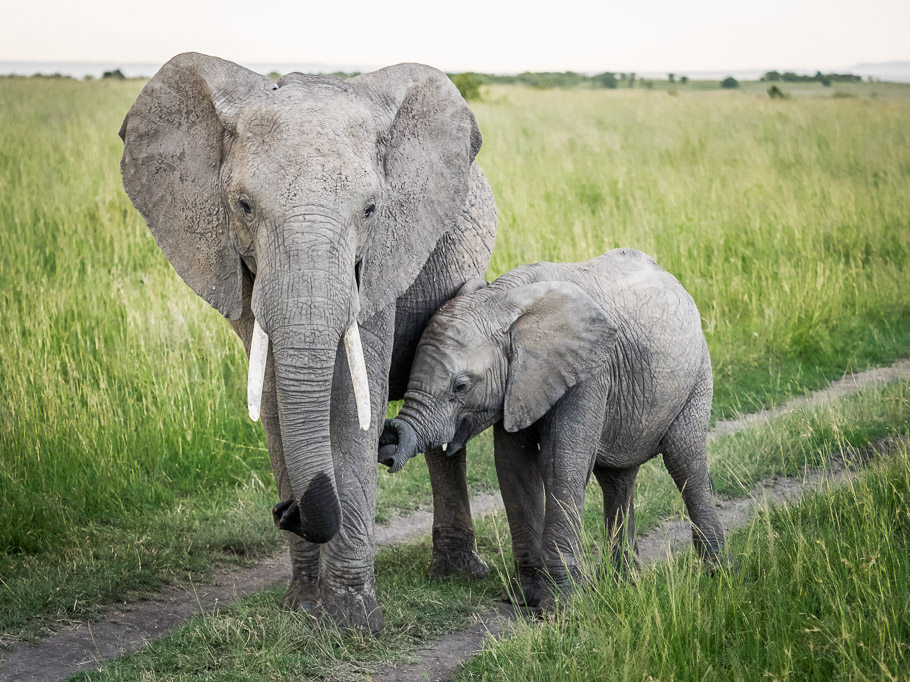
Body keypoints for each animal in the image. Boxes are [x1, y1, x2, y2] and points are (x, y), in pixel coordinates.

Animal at [119, 52, 496, 631]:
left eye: (371, 210)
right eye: (243, 206)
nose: (286, 512)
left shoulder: (379, 264)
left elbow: (350, 408)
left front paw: (352, 620)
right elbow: (275, 404)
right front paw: (300, 608)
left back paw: (457, 575)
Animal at [379, 248, 725, 607]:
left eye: (461, 386)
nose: (388, 437)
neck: (503, 300)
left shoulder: (590, 371)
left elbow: (561, 463)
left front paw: (561, 605)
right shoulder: (518, 384)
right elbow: (514, 466)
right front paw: (528, 597)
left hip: (697, 374)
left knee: (685, 460)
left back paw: (716, 573)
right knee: (617, 479)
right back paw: (621, 582)